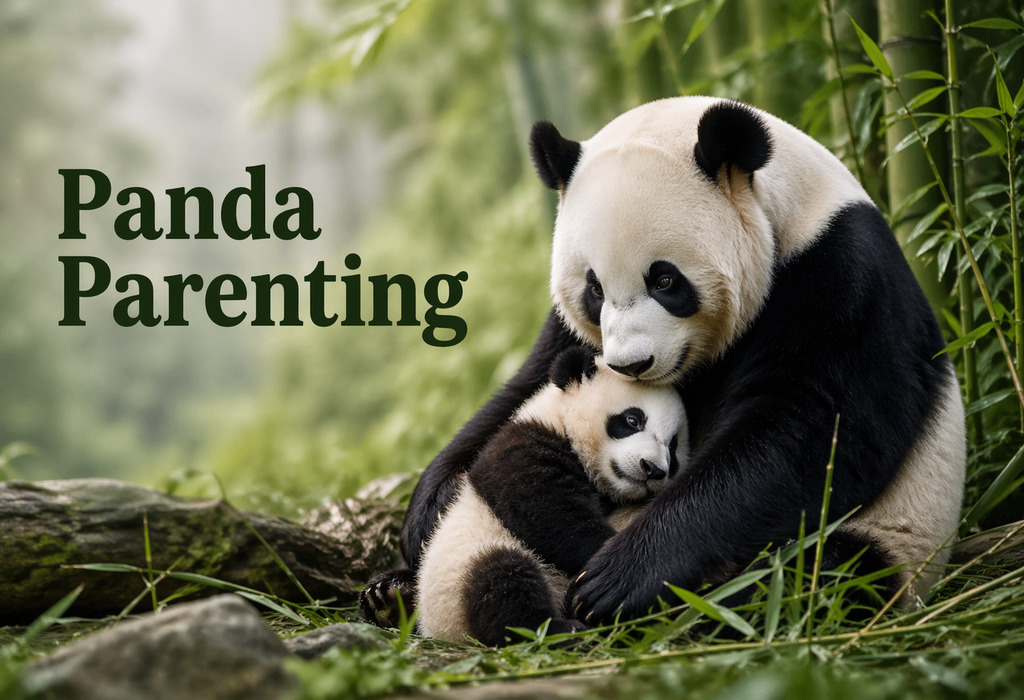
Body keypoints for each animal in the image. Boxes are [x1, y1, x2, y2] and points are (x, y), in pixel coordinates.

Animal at [381, 346, 688, 646]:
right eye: (633, 420)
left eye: (673, 447)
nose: (653, 469)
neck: (559, 416)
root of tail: (439, 632)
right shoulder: (520, 444)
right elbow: (545, 511)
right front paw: (609, 554)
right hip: (458, 584)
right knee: (501, 584)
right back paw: (560, 631)